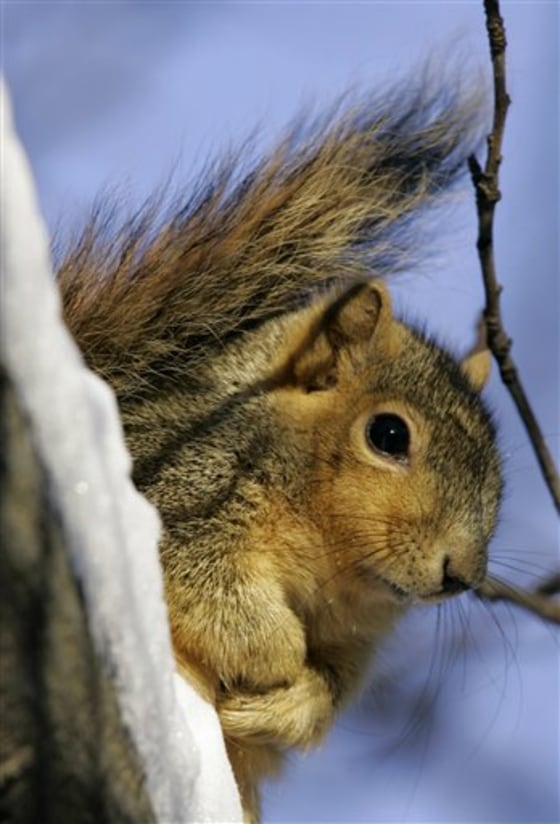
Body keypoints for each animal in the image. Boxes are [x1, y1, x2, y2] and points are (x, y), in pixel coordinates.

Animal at [57, 80, 504, 821]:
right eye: (388, 435)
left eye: (500, 474)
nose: (459, 574)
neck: (325, 563)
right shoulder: (184, 490)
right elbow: (211, 590)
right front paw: (278, 656)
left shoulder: (355, 643)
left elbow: (327, 694)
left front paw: (289, 701)